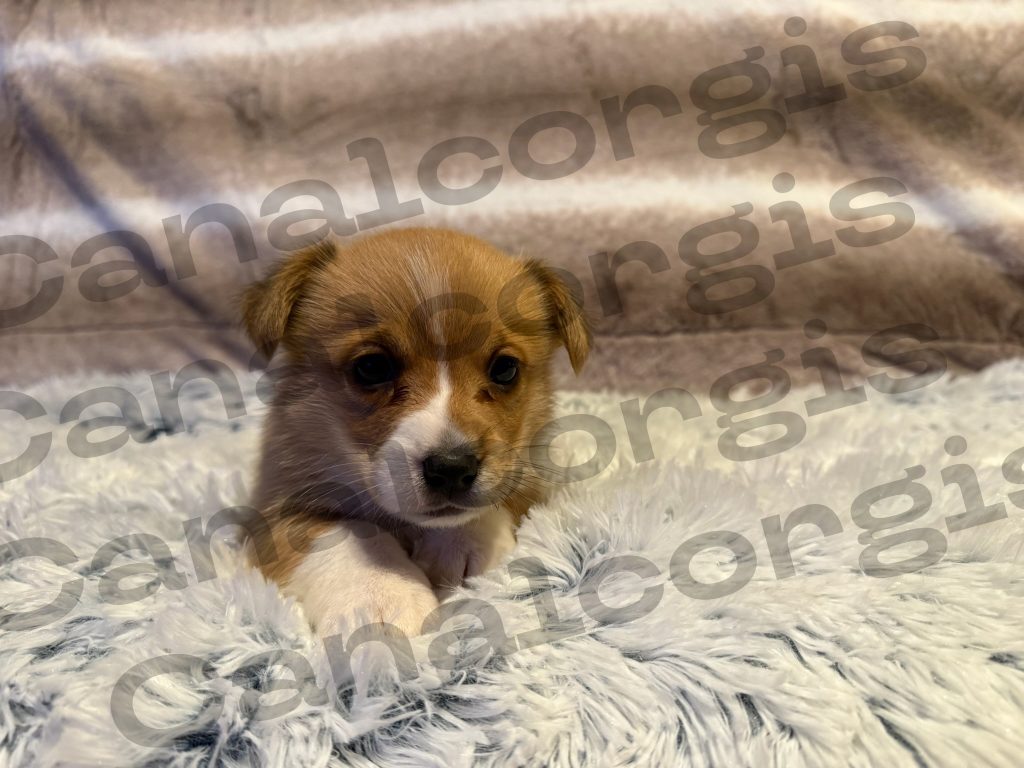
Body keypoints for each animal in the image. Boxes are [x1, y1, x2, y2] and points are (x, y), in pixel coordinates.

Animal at [240, 227, 590, 638]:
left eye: (505, 369)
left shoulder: (531, 478)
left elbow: (493, 502)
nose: (452, 468)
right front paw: (381, 597)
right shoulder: (276, 510)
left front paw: (459, 545)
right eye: (372, 368)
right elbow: (345, 530)